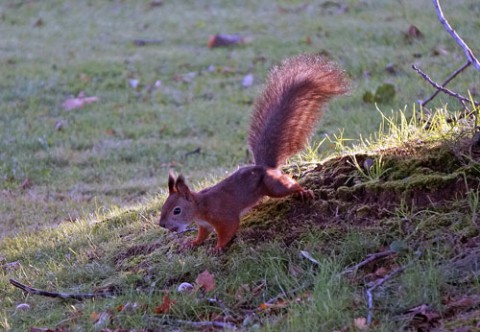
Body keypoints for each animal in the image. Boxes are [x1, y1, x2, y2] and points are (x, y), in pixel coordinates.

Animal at [159, 53, 346, 252]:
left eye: (176, 210)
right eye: (164, 205)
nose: (161, 224)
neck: (200, 207)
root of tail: (265, 167)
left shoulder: (223, 216)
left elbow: (229, 229)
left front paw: (218, 248)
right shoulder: (204, 225)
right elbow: (202, 235)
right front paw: (192, 243)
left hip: (273, 186)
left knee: (289, 184)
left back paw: (303, 191)